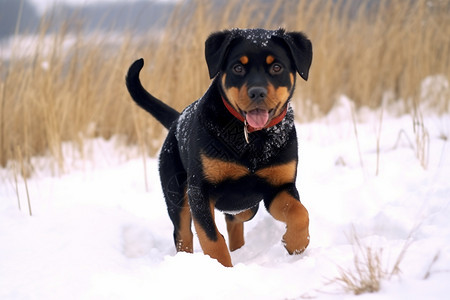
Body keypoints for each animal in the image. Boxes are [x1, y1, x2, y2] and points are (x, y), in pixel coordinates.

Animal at [125, 28, 312, 268]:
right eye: (238, 68)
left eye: (277, 67)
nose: (257, 92)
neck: (253, 137)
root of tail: (177, 120)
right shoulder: (200, 191)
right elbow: (211, 238)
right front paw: (222, 268)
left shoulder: (279, 186)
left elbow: (300, 213)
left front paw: (295, 243)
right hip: (176, 192)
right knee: (183, 233)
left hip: (246, 204)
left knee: (237, 218)